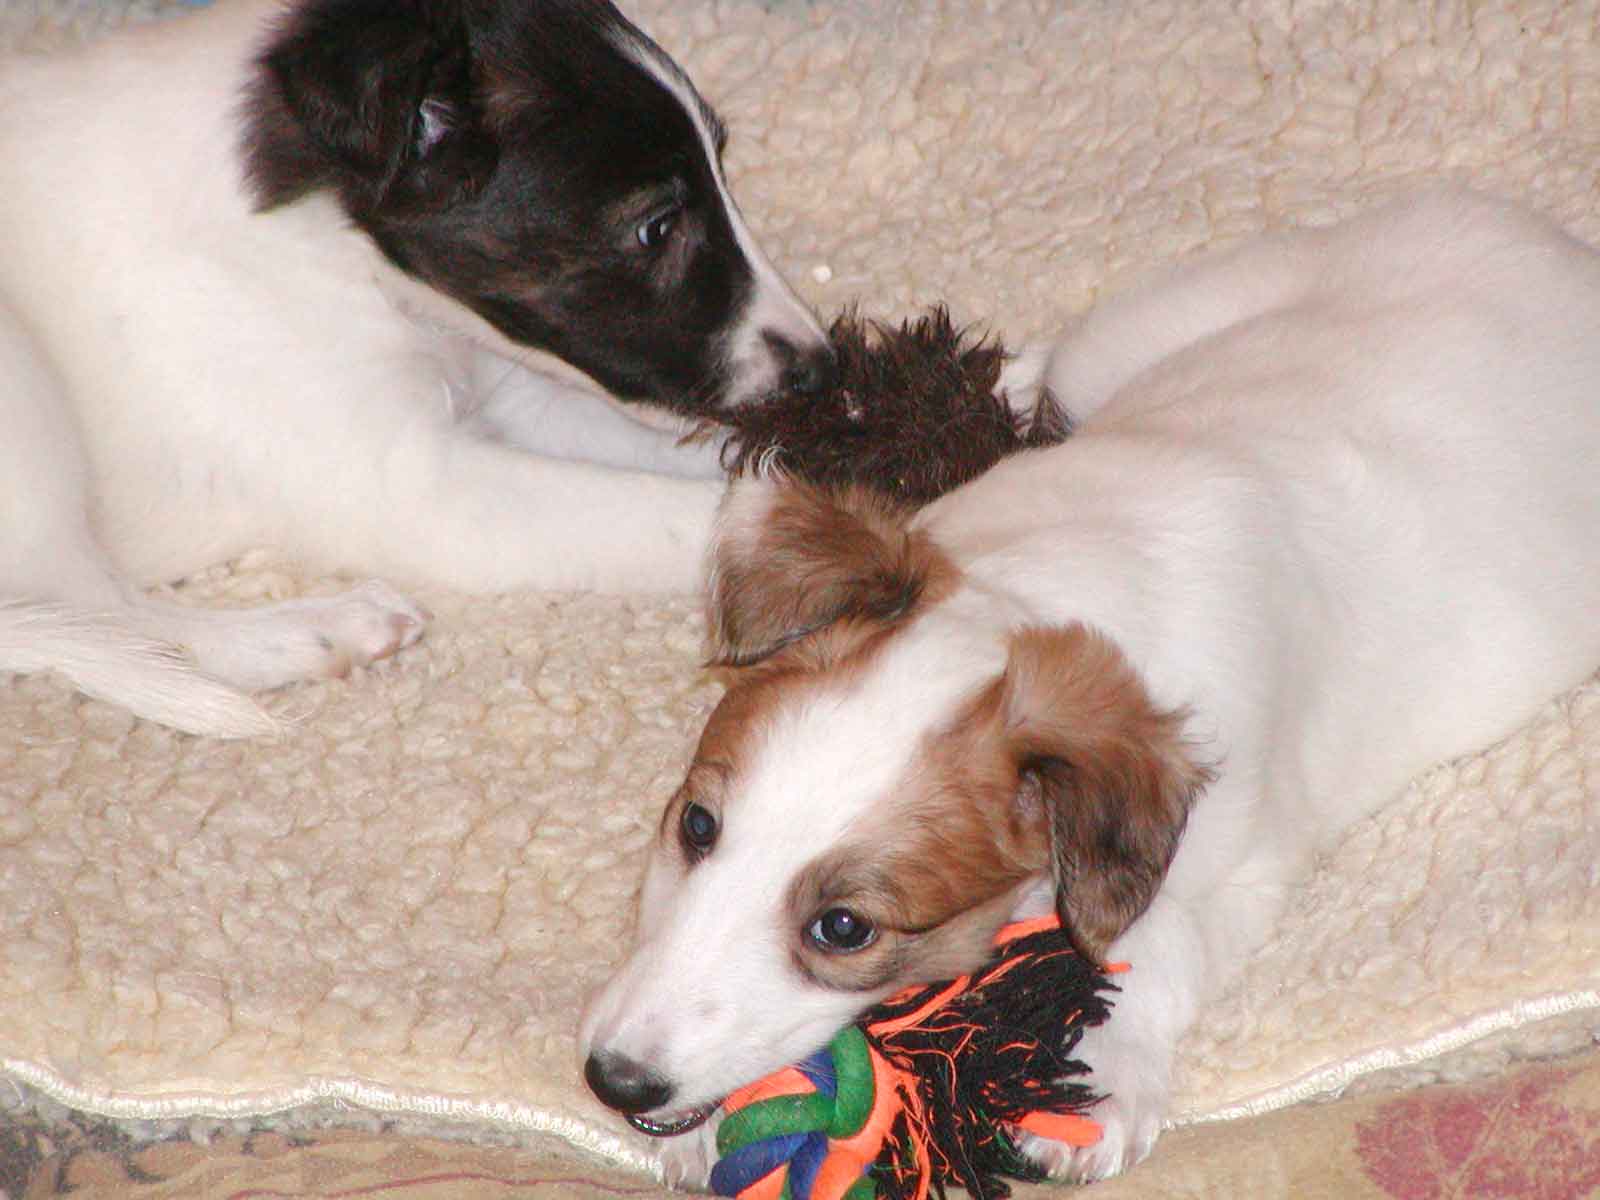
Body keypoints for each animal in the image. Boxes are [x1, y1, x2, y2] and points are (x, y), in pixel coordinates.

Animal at [0, 0, 831, 737]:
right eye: (655, 227)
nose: (821, 369)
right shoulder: (420, 490)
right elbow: (680, 513)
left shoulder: (507, 390)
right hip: (29, 406)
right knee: (113, 614)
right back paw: (320, 628)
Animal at [579, 188, 1600, 1184]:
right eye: (696, 827)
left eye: (842, 928)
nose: (616, 1082)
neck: (1039, 599)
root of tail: (1552, 254)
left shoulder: (1243, 864)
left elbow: (1151, 947)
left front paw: (1096, 1090)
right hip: (1149, 327)